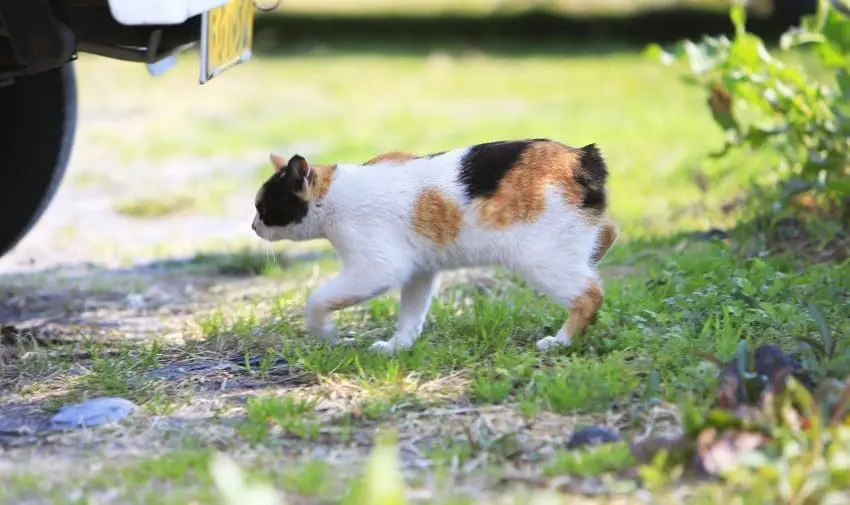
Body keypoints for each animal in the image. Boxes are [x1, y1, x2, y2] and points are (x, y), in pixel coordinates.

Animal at [252, 138, 616, 354]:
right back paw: (595, 254)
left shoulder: (377, 267)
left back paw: (561, 341)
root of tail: (582, 157)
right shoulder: (420, 271)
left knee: (590, 296)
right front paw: (398, 347)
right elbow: (411, 314)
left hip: (541, 258)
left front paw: (322, 331)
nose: (253, 225)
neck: (332, 196)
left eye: (263, 207)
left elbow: (317, 299)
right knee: (609, 234)